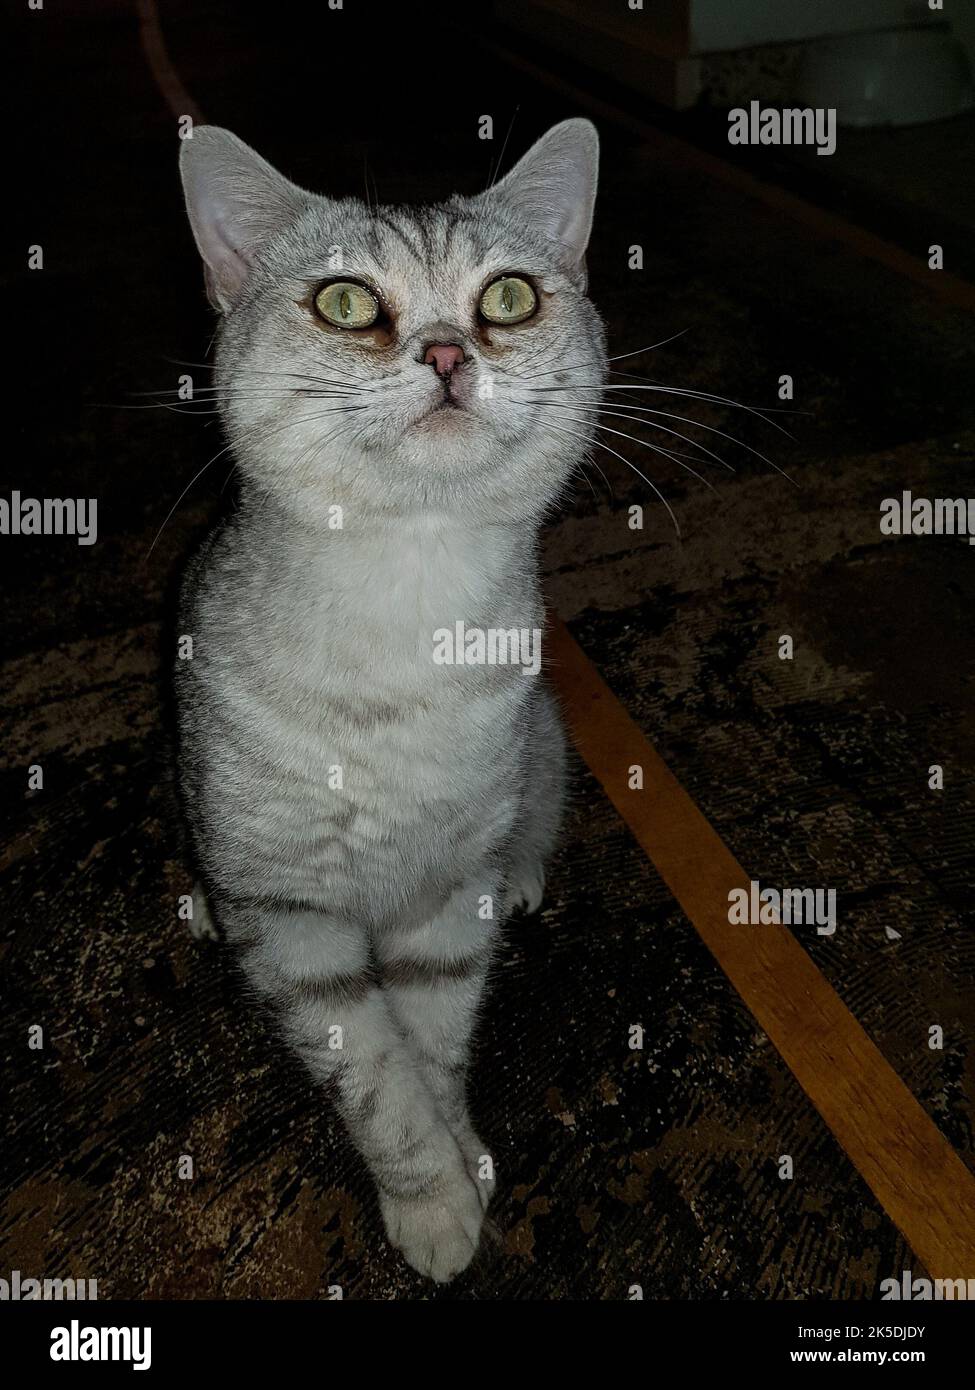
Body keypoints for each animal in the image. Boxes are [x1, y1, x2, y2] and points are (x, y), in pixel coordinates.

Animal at [173, 119, 600, 1278]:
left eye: (509, 298)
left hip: (539, 750)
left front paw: (460, 1157)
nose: (450, 354)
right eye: (345, 302)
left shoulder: (445, 899)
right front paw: (432, 1197)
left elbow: (432, 1046)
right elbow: (375, 1080)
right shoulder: (294, 925)